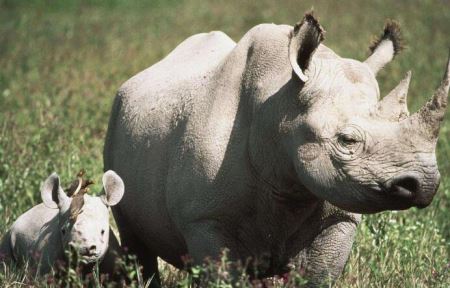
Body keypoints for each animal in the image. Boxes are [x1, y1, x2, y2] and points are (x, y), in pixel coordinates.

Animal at [103, 12, 448, 286]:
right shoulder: (204, 219)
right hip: (118, 125)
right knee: (135, 242)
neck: (280, 105)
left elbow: (319, 276)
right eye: (347, 141)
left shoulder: (338, 219)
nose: (424, 184)